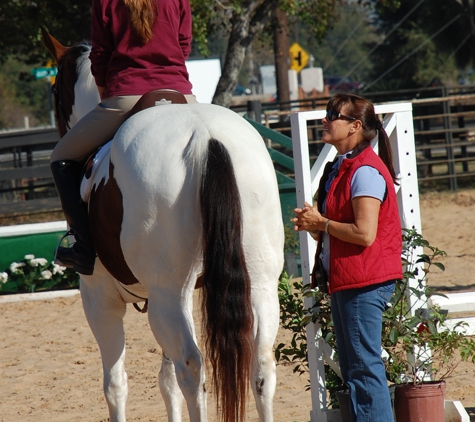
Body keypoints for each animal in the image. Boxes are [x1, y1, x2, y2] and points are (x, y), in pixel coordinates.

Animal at [41, 29, 284, 422]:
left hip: (166, 296)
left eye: (55, 91)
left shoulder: (99, 299)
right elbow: (165, 380)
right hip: (257, 283)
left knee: (192, 368)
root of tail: (205, 136)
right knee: (260, 367)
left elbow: (115, 384)